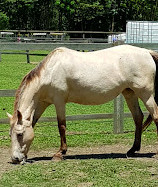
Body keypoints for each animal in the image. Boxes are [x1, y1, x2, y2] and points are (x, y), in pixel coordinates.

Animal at [7, 44, 158, 164]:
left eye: (19, 134)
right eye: (10, 135)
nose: (15, 158)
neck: (50, 70)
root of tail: (147, 52)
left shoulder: (59, 101)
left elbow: (61, 126)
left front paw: (60, 153)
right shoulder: (42, 103)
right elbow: (33, 123)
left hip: (146, 94)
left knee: (155, 115)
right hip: (130, 94)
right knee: (138, 117)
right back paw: (132, 150)